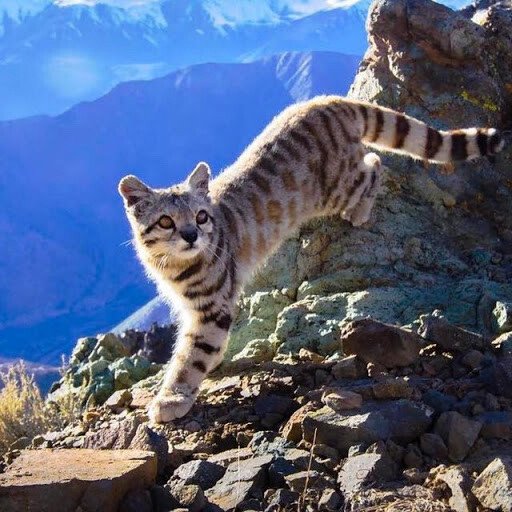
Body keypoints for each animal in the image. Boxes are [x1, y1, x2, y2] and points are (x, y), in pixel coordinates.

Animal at [117, 94, 504, 422]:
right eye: (166, 221)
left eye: (200, 216)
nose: (191, 235)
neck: (173, 271)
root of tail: (330, 101)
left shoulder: (211, 309)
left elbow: (191, 356)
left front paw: (171, 399)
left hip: (335, 186)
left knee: (374, 165)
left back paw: (359, 211)